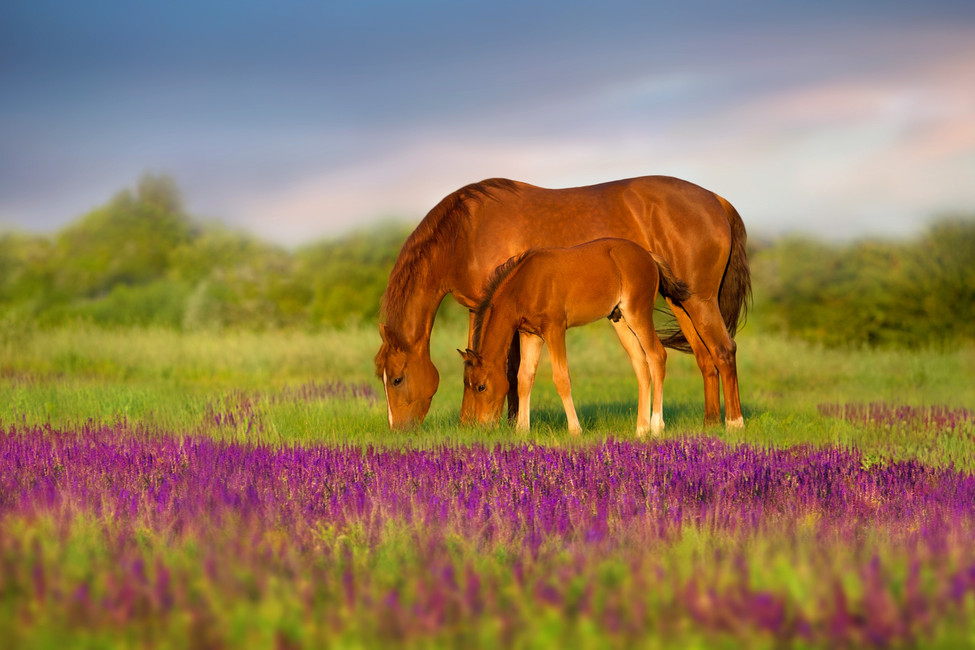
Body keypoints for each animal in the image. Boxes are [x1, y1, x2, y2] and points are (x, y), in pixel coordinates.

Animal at [462, 237, 692, 436]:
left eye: (481, 386)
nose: (482, 427)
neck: (526, 284)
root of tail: (648, 256)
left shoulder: (554, 330)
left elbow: (562, 379)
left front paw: (575, 430)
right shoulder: (530, 334)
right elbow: (524, 378)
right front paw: (522, 430)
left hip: (638, 314)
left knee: (657, 356)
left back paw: (656, 426)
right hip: (619, 319)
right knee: (640, 364)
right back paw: (641, 430)